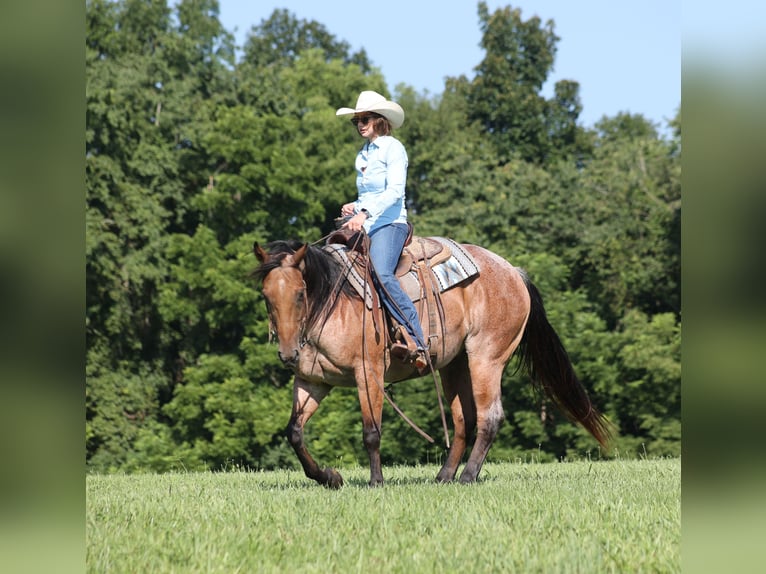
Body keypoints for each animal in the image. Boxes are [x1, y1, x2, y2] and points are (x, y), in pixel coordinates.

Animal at [253, 238, 611, 487]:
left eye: (300, 294)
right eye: (266, 296)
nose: (288, 354)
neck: (335, 303)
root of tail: (514, 272)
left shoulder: (368, 372)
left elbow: (371, 431)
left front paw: (375, 482)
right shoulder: (314, 381)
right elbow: (295, 432)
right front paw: (329, 477)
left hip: (486, 358)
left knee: (490, 417)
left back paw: (467, 476)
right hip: (455, 365)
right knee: (464, 420)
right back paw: (444, 476)